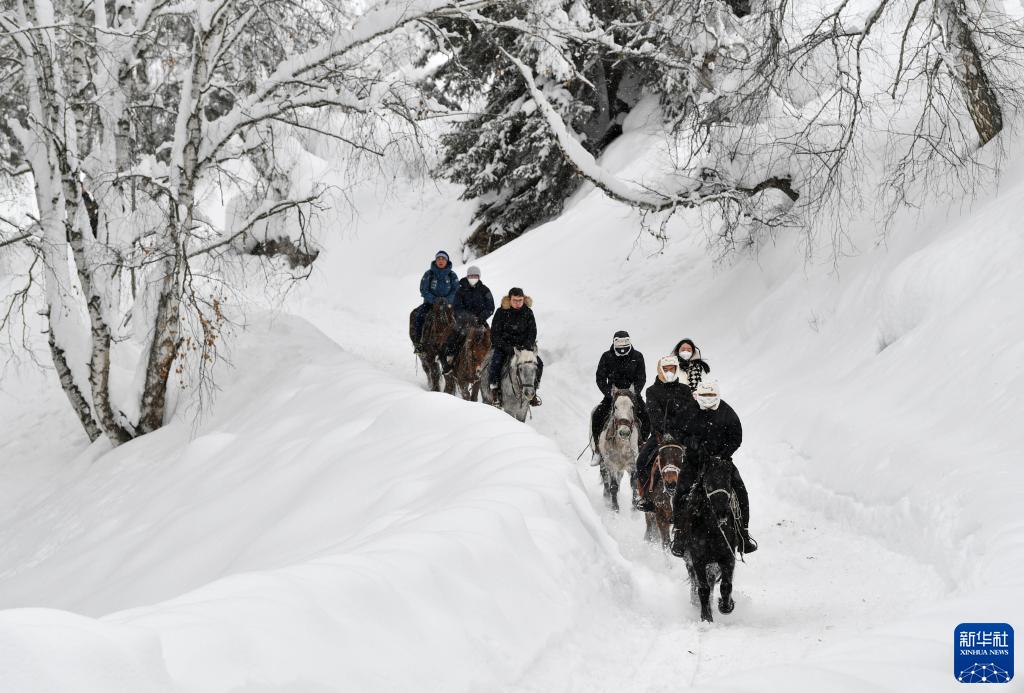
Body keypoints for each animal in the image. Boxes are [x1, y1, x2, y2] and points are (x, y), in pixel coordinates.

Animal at [675, 454, 741, 622]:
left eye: (728, 481)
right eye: (709, 483)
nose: (722, 513)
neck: (713, 530)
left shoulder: (727, 558)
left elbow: (726, 585)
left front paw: (726, 606)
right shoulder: (698, 560)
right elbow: (703, 588)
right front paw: (706, 617)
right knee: (697, 583)